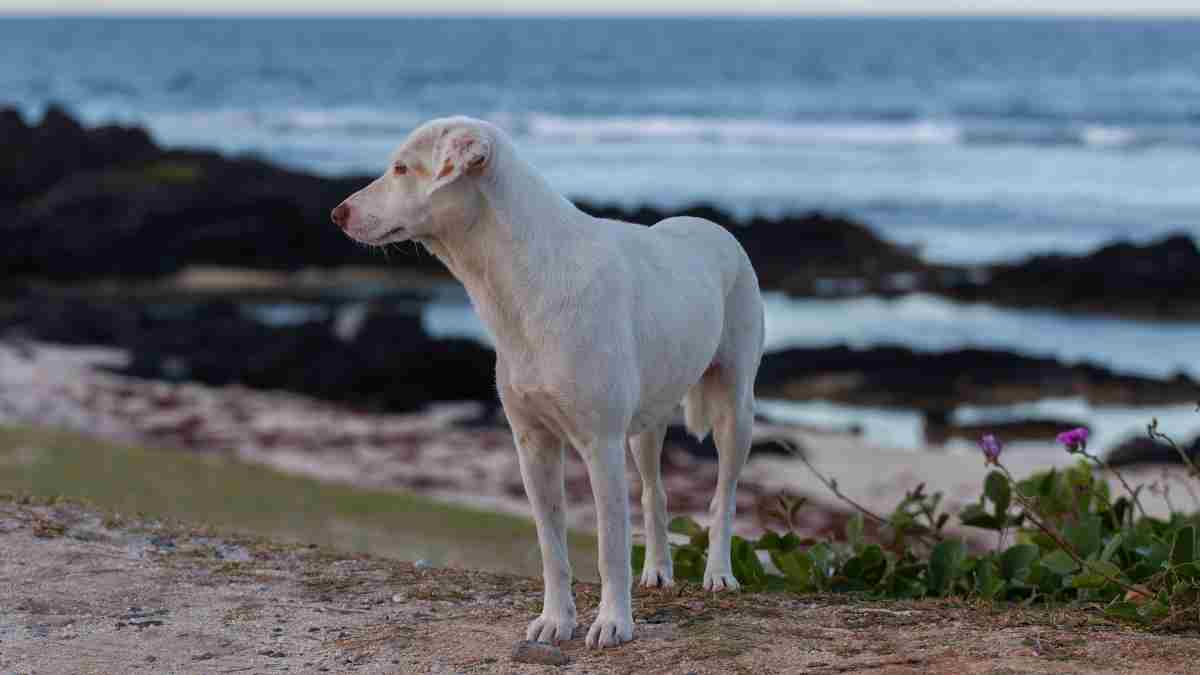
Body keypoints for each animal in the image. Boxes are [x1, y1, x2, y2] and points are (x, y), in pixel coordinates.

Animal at [333, 117, 763, 648]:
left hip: (734, 411)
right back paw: (658, 570)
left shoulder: (600, 445)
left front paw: (613, 623)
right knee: (654, 492)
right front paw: (556, 621)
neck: (523, 280)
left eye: (401, 168)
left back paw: (718, 574)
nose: (337, 213)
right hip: (647, 425)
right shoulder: (533, 443)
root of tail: (713, 226)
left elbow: (609, 548)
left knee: (723, 495)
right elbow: (551, 546)